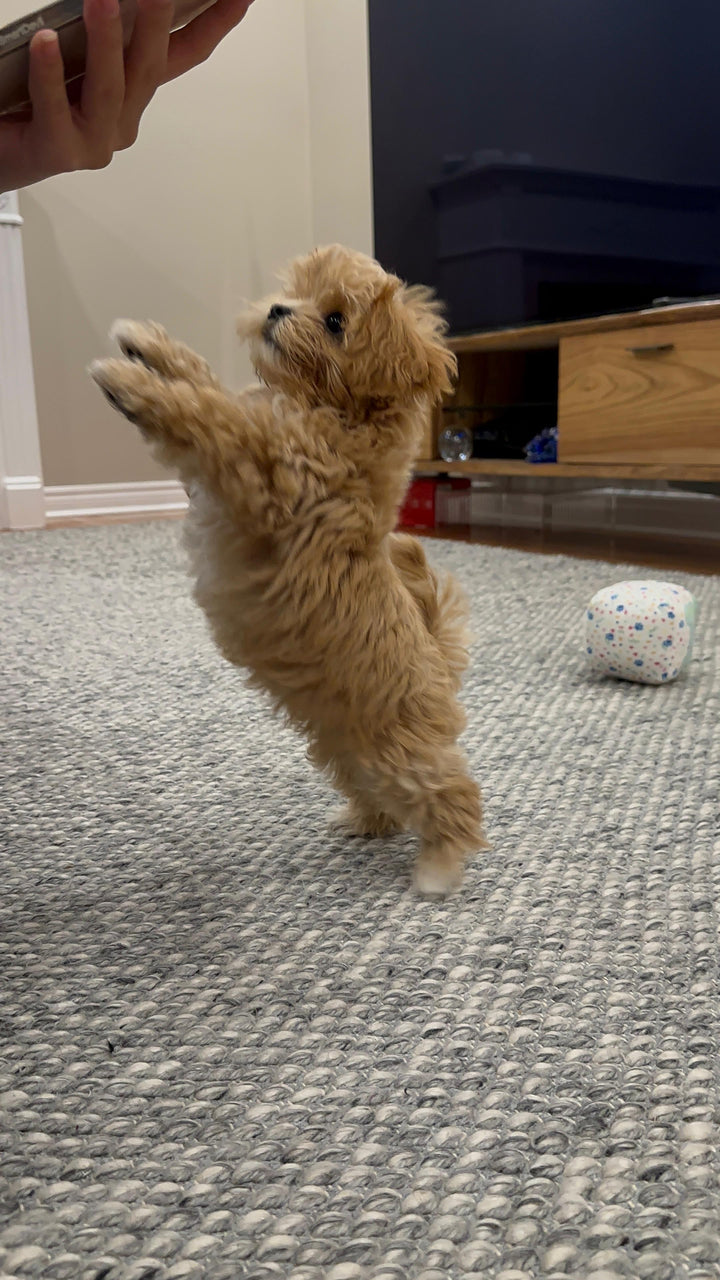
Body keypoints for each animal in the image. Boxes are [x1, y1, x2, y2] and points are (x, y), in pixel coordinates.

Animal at [87, 244, 484, 896]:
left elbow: (205, 412)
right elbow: (206, 380)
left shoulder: (263, 470)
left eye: (335, 321)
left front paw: (131, 382)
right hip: (341, 747)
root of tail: (437, 660)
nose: (276, 310)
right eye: (296, 295)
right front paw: (147, 345)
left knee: (449, 792)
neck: (335, 412)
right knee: (378, 793)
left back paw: (439, 867)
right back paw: (362, 822)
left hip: (400, 748)